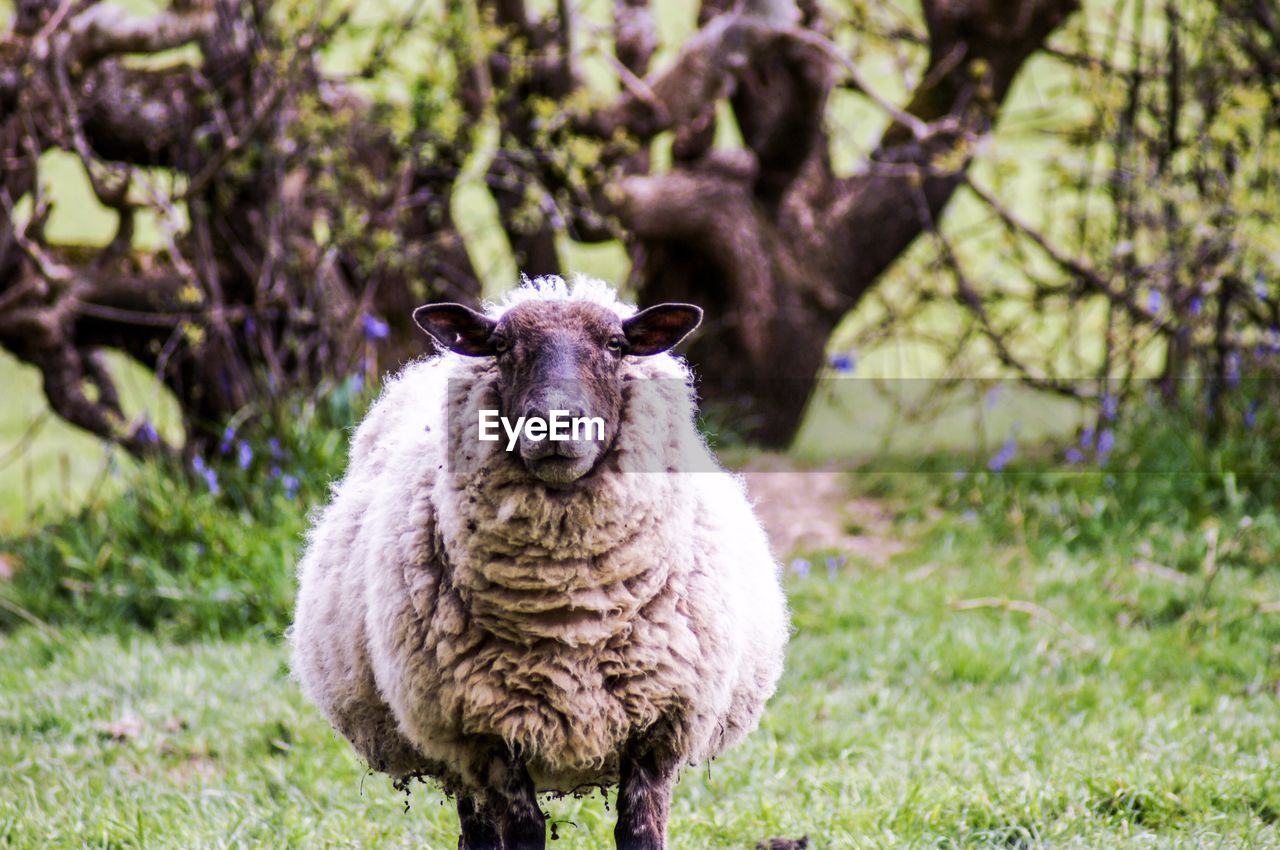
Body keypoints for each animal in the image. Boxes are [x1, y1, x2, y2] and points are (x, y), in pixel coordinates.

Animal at [290, 275, 788, 844]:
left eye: (615, 344)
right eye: (502, 346)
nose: (554, 424)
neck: (569, 611)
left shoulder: (661, 722)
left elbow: (640, 831)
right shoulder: (483, 732)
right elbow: (523, 831)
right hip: (450, 744)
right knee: (478, 833)